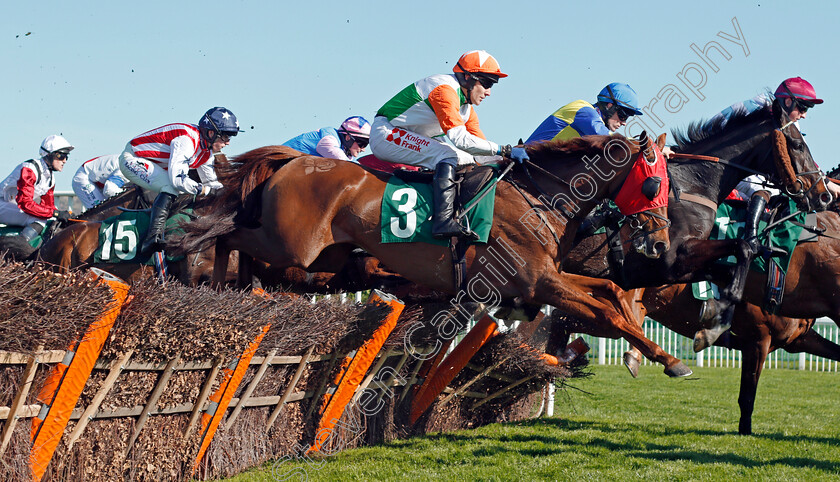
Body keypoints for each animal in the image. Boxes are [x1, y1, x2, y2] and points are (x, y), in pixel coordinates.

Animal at [180, 134, 672, 360]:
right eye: (653, 184)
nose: (660, 242)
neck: (540, 196)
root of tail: (295, 159)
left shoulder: (546, 278)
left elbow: (609, 293)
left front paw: (649, 348)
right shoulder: (538, 283)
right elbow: (605, 310)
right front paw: (667, 359)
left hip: (322, 254)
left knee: (242, 244)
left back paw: (238, 289)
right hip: (291, 244)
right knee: (226, 235)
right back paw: (212, 280)